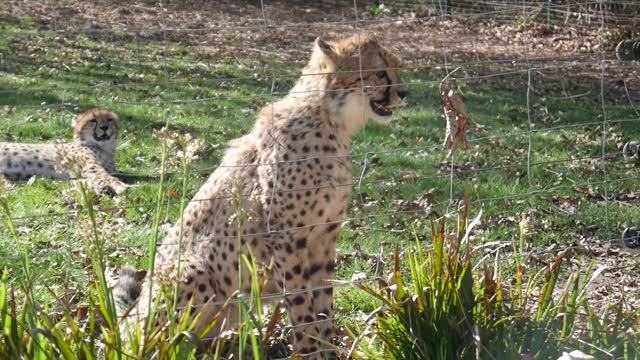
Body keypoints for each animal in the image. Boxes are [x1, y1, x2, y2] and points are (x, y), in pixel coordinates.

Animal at [0, 108, 129, 195]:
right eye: (93, 120)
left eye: (110, 119)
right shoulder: (88, 166)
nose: (104, 127)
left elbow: (89, 180)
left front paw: (102, 188)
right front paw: (119, 185)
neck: (103, 148)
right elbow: (103, 175)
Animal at [115, 34, 404, 358]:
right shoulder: (287, 238)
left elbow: (323, 305)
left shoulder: (323, 239)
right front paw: (307, 350)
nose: (404, 93)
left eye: (396, 68)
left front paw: (328, 349)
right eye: (380, 72)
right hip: (193, 270)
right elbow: (301, 304)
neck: (332, 123)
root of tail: (126, 326)